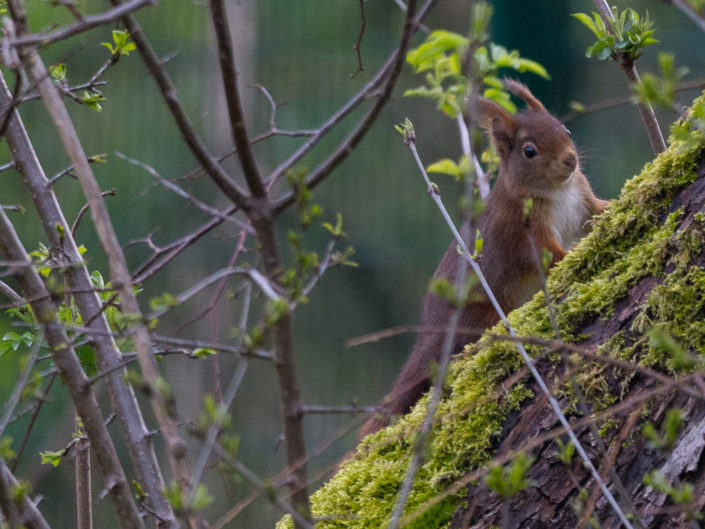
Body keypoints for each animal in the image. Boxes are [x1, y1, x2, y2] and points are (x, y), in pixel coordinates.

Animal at [359, 80, 609, 438]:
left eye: (567, 130)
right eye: (529, 151)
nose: (570, 160)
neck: (557, 192)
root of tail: (430, 337)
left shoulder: (583, 201)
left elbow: (599, 210)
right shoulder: (521, 230)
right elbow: (547, 256)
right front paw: (570, 255)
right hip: (484, 316)